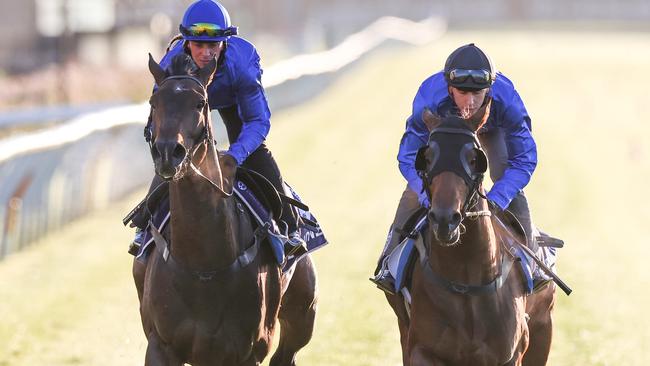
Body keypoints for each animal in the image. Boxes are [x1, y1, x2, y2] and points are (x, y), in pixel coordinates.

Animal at [130, 53, 316, 364]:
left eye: (200, 102)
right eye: (154, 102)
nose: (168, 153)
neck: (204, 266)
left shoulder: (248, 351)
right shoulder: (161, 345)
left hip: (302, 314)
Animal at [382, 103, 556, 366]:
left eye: (475, 159)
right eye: (427, 158)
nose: (445, 219)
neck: (467, 281)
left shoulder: (511, 353)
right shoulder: (421, 350)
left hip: (542, 329)